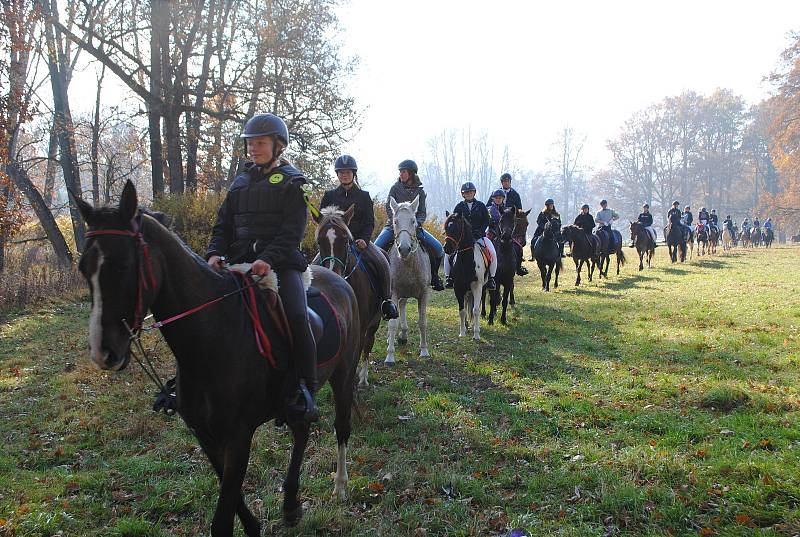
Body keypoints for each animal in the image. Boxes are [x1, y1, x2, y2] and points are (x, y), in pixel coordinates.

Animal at [75, 182, 362, 532]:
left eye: (123, 265)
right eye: (83, 268)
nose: (103, 352)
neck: (212, 339)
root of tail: (340, 280)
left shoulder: (238, 437)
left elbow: (223, 518)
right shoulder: (206, 436)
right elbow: (233, 500)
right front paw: (254, 525)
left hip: (343, 375)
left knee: (341, 427)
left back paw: (340, 486)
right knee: (301, 430)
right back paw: (291, 504)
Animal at [382, 197, 428, 364]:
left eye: (413, 221)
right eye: (395, 221)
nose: (404, 249)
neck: (408, 263)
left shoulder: (424, 294)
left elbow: (422, 322)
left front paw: (424, 351)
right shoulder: (394, 293)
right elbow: (392, 324)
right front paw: (390, 356)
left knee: (402, 307)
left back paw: (403, 335)